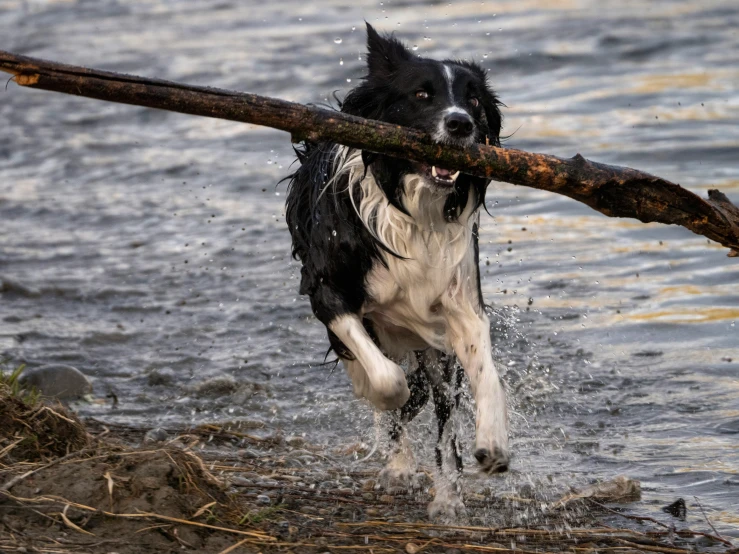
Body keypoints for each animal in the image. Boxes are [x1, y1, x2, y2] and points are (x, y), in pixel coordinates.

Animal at [284, 24, 508, 516]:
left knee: (444, 421)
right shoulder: (327, 290)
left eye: (474, 100)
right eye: (422, 94)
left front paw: (494, 442)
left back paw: (447, 497)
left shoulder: (461, 305)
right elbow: (387, 383)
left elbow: (485, 373)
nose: (460, 124)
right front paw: (384, 395)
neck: (413, 207)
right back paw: (400, 466)